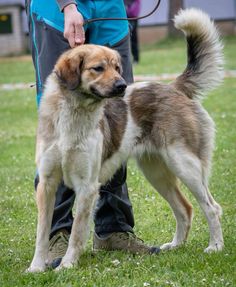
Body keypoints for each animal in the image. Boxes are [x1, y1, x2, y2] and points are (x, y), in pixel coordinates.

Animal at [28, 9, 225, 274]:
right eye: (98, 68)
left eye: (117, 67)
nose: (122, 85)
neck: (74, 114)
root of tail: (173, 87)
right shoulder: (48, 183)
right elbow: (42, 233)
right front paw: (37, 267)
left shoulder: (87, 186)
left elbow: (77, 233)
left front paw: (67, 264)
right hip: (156, 173)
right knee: (185, 209)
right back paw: (175, 246)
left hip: (186, 166)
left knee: (211, 208)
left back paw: (215, 246)